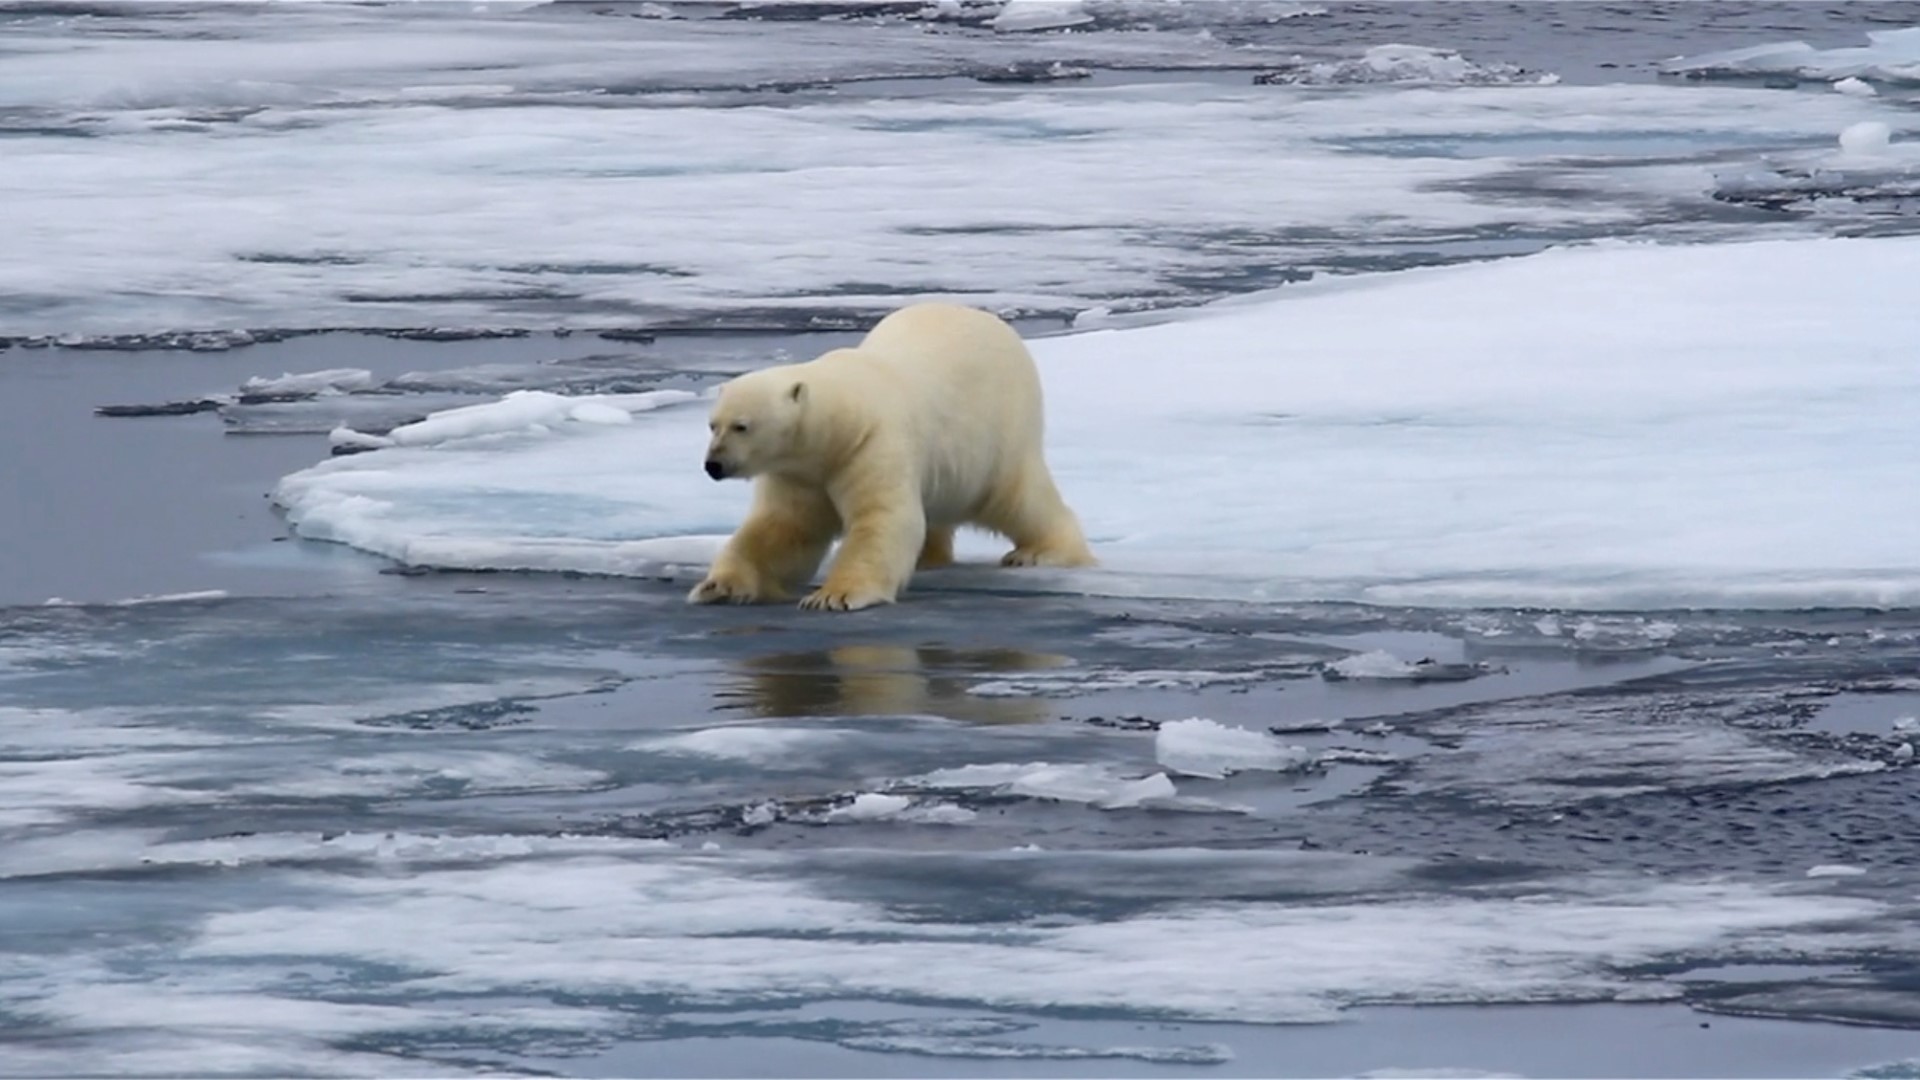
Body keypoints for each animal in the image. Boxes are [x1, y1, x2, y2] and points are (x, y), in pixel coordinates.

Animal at [687, 297, 1098, 611]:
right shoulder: (799, 472)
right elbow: (783, 528)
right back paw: (930, 558)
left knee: (1019, 499)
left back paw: (1037, 552)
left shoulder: (872, 443)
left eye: (742, 425)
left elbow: (883, 520)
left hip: (1000, 434)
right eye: (712, 424)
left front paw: (832, 597)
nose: (713, 465)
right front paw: (717, 586)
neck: (843, 420)